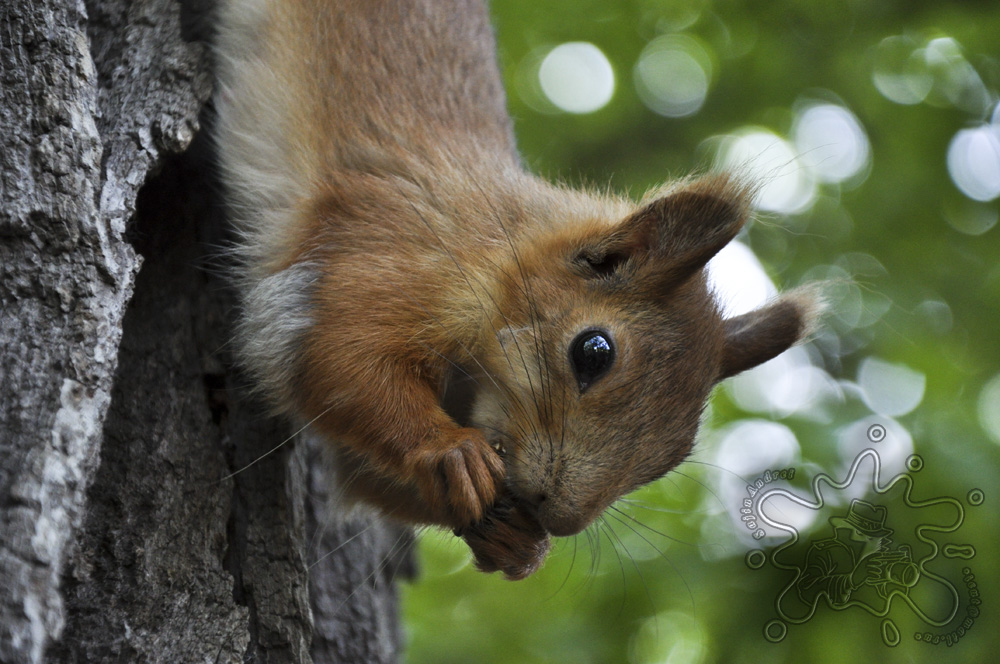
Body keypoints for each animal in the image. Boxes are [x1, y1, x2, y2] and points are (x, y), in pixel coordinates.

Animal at [215, 0, 816, 580]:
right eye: (593, 352)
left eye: (676, 451)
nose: (559, 517)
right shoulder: (391, 258)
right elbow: (339, 356)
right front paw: (451, 451)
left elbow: (361, 468)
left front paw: (515, 540)